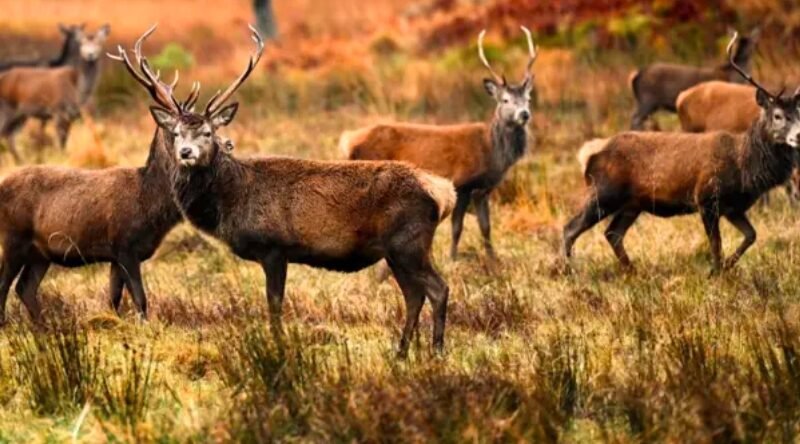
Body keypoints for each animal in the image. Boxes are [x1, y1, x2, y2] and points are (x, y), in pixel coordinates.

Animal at [0, 24, 110, 160]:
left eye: (99, 42)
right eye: (82, 43)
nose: (90, 54)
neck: (77, 91)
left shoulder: (70, 116)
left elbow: (64, 141)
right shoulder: (57, 110)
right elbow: (60, 141)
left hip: (21, 115)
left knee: (9, 135)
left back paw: (20, 161)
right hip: (6, 108)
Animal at [143, 26, 455, 357]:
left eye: (207, 132)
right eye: (175, 133)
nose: (186, 152)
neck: (232, 199)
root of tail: (443, 193)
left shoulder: (274, 248)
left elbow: (275, 306)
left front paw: (279, 348)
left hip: (408, 242)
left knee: (438, 288)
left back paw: (436, 351)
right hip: (397, 251)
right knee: (414, 295)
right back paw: (401, 352)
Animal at [341, 27, 535, 261]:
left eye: (528, 98)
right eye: (505, 99)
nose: (524, 114)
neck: (491, 150)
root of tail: (348, 140)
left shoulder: (483, 190)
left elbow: (486, 227)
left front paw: (492, 259)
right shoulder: (462, 183)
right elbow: (457, 227)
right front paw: (452, 257)